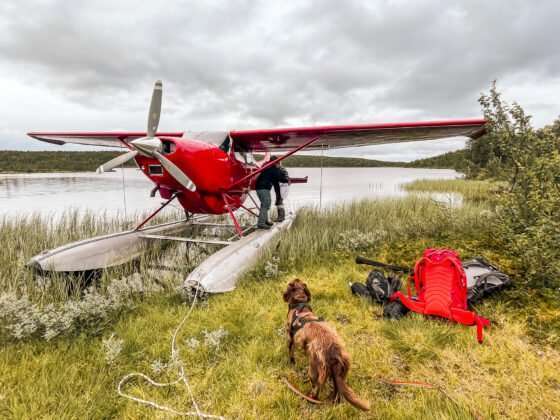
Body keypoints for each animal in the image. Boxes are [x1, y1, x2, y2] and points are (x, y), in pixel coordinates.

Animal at [282, 278, 370, 410]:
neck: (299, 304)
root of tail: (334, 353)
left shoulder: (290, 338)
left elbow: (291, 353)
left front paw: (291, 362)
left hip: (314, 370)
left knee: (316, 390)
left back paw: (310, 399)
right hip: (338, 375)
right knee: (337, 393)